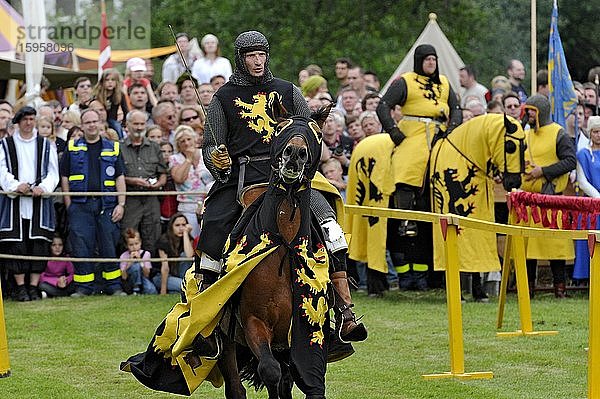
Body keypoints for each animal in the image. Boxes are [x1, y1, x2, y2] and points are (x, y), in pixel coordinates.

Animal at [218, 109, 332, 399]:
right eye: (280, 128)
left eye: (318, 133)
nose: (295, 153)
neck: (285, 245)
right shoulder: (254, 323)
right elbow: (270, 371)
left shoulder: (304, 331)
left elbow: (295, 378)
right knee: (238, 385)